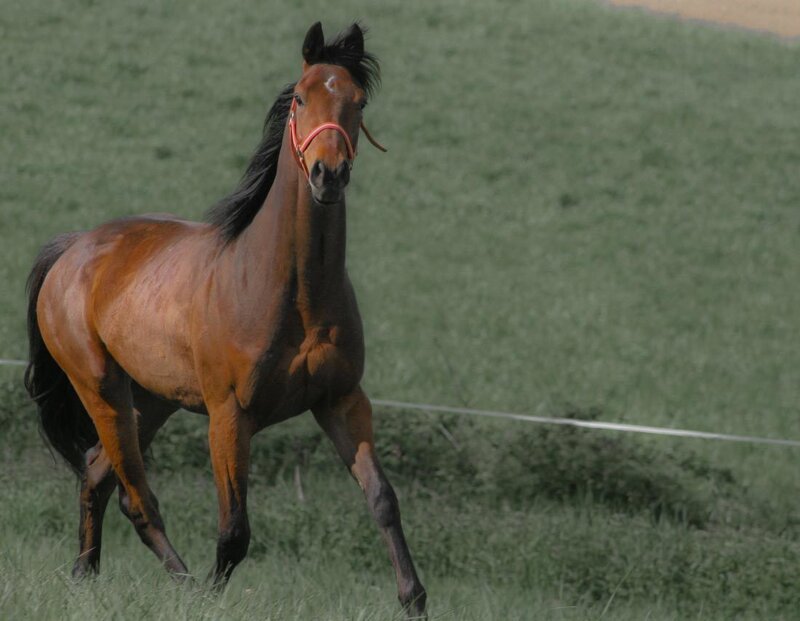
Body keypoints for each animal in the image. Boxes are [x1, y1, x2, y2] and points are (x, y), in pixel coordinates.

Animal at [23, 22, 426, 618]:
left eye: (357, 101)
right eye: (301, 97)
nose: (329, 175)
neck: (292, 293)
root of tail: (73, 248)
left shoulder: (342, 401)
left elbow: (382, 498)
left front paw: (414, 598)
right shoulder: (229, 417)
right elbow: (235, 529)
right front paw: (213, 600)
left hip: (153, 400)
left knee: (97, 476)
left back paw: (84, 577)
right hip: (102, 390)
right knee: (137, 498)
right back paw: (182, 586)